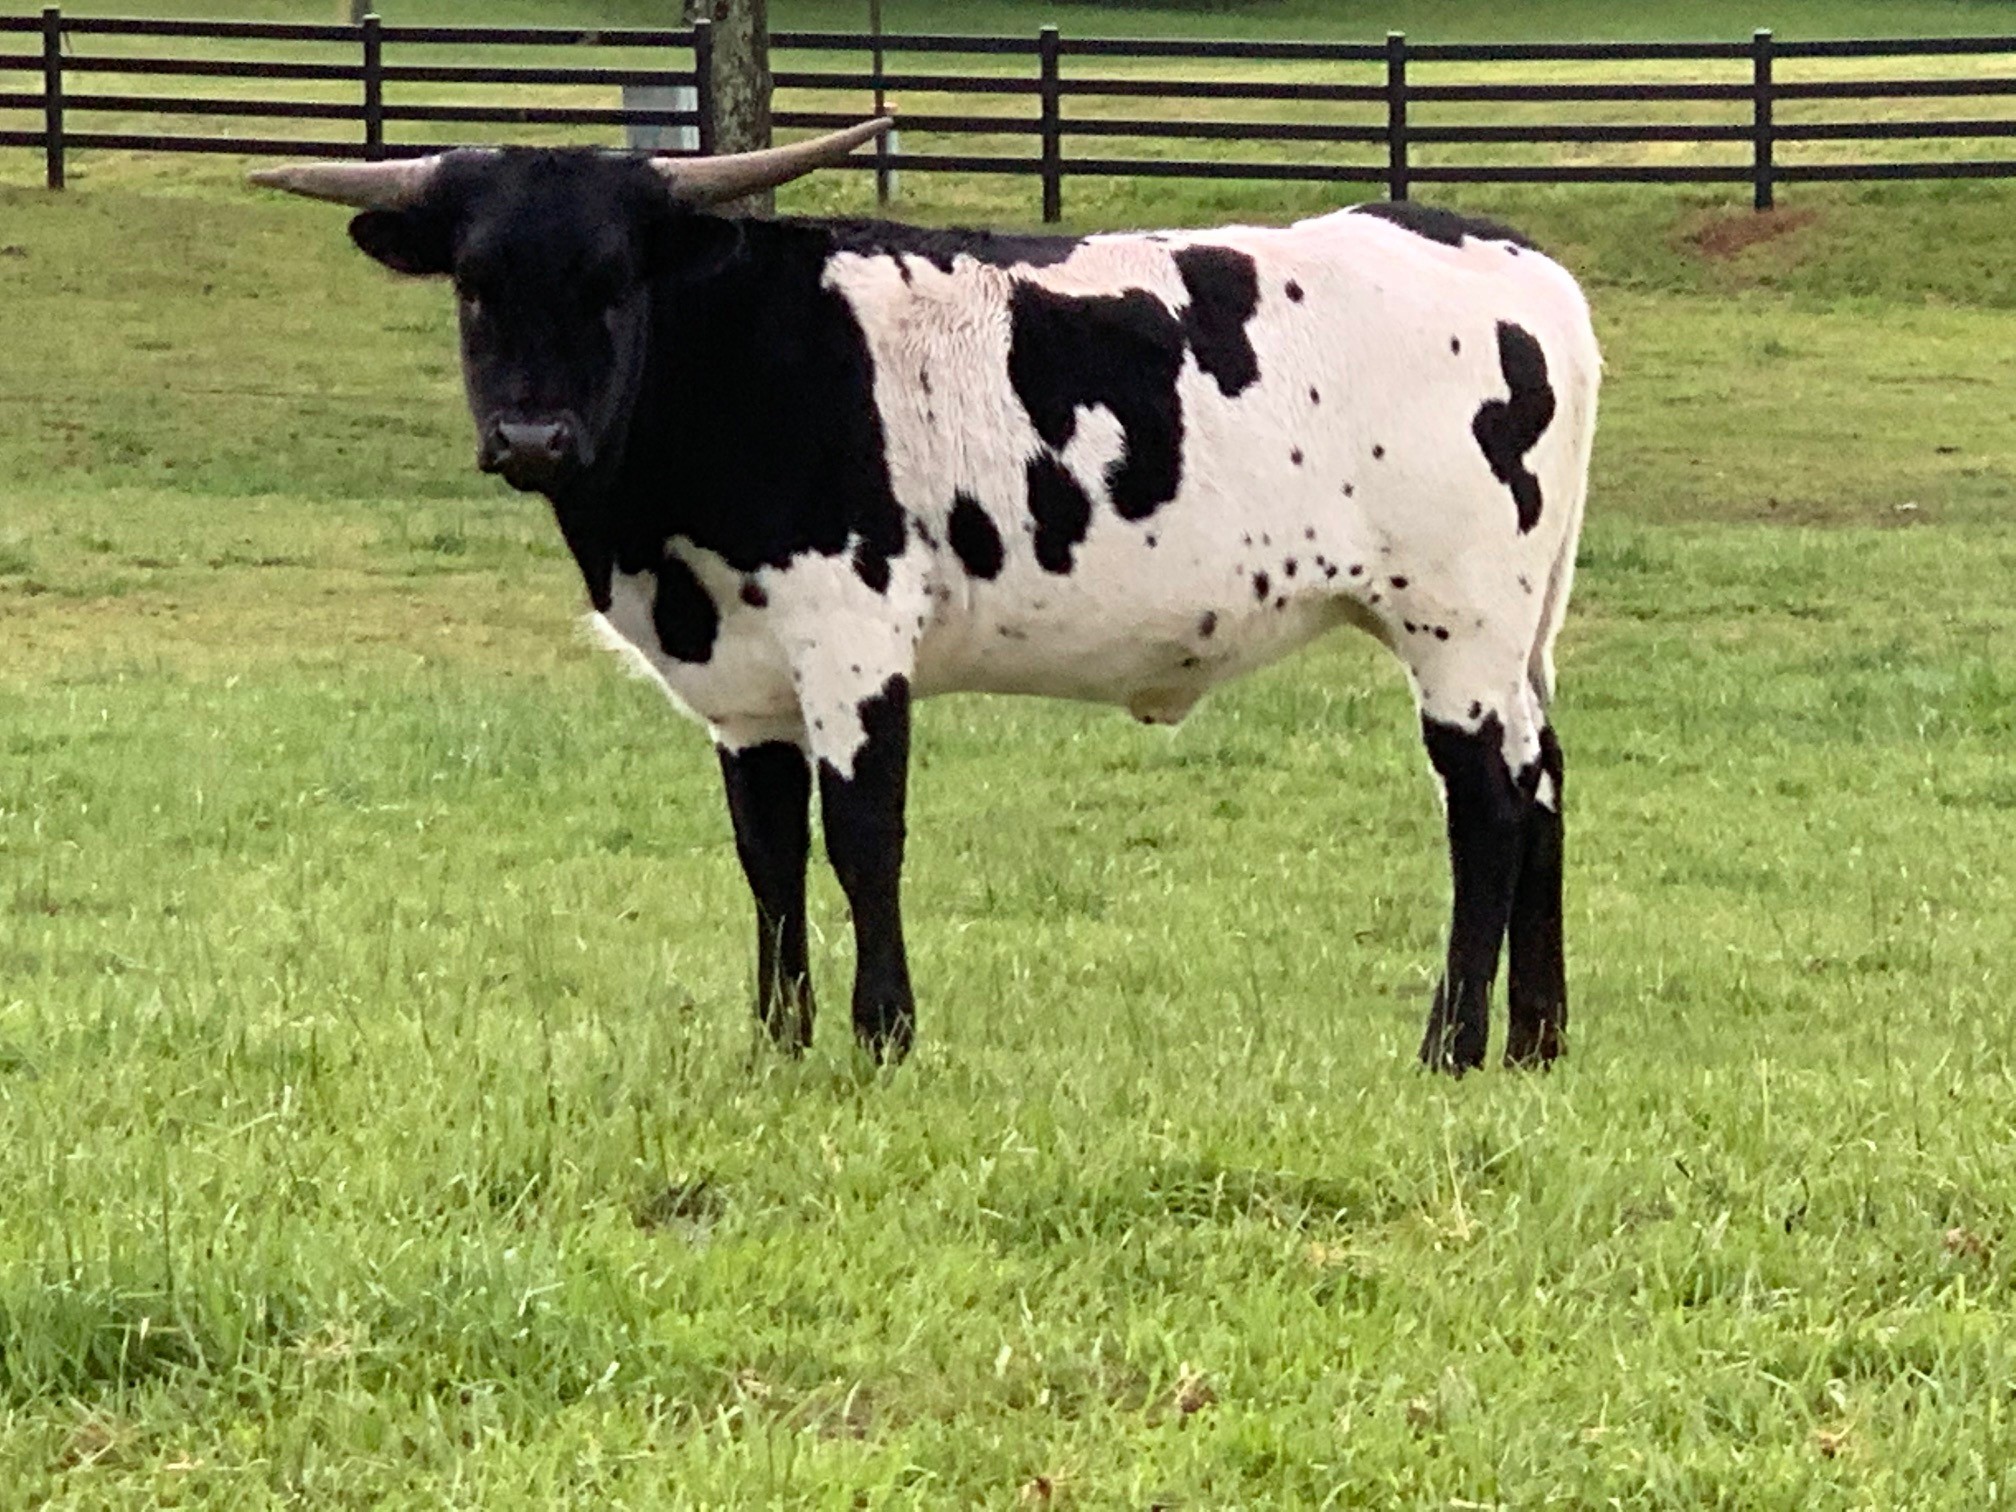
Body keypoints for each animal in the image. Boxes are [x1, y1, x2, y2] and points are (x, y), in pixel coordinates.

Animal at [251, 120, 1599, 1074]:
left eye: (614, 284)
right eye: (476, 286)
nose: (534, 437)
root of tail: (1519, 265)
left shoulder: (851, 636)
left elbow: (862, 837)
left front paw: (883, 1036)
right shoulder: (747, 690)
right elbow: (768, 854)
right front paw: (778, 1040)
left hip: (1456, 624)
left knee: (1487, 806)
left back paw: (1449, 1047)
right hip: (1519, 640)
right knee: (1542, 785)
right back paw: (1536, 1042)